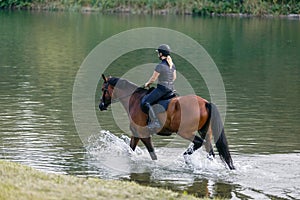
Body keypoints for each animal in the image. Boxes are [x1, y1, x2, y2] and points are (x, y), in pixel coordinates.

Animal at [98, 74, 234, 170]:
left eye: (103, 89)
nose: (100, 105)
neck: (134, 99)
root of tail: (205, 103)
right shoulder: (136, 134)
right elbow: (130, 150)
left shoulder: (143, 134)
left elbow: (153, 155)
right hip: (205, 131)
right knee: (210, 151)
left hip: (185, 132)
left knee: (199, 143)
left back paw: (186, 157)